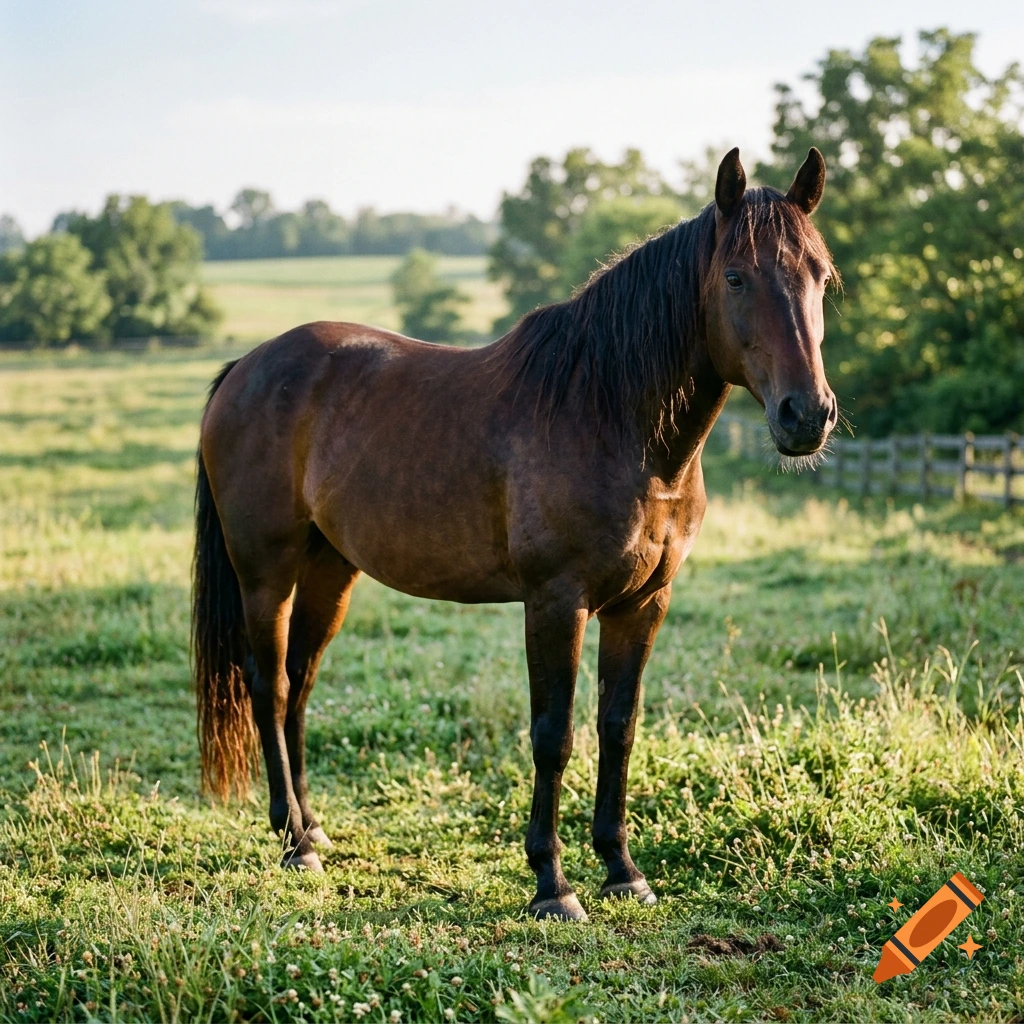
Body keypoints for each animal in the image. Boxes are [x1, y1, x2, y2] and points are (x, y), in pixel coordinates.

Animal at [192, 147, 838, 921]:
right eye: (736, 276)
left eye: (822, 276)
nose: (807, 415)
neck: (610, 415)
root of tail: (246, 367)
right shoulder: (555, 602)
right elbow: (553, 735)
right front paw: (552, 885)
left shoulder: (642, 604)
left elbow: (618, 726)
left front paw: (622, 869)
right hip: (267, 572)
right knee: (270, 686)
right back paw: (294, 843)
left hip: (331, 570)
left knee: (301, 683)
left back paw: (312, 828)